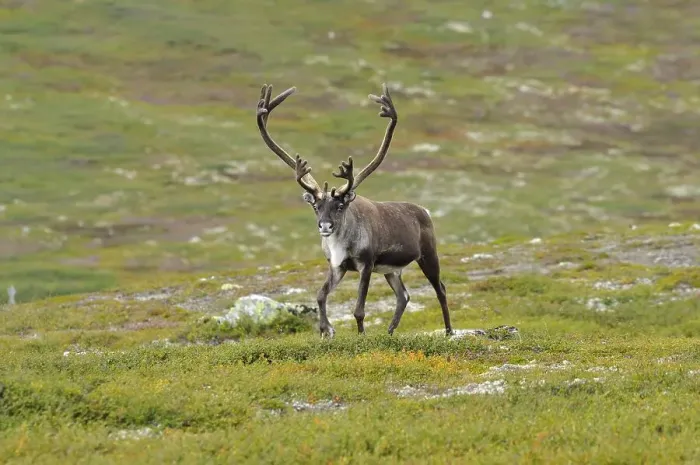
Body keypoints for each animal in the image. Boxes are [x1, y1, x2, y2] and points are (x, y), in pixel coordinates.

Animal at [255, 82, 453, 338]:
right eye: (316, 206)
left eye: (340, 206)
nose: (325, 226)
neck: (340, 242)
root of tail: (425, 211)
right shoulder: (337, 266)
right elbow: (320, 295)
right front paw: (326, 330)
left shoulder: (366, 265)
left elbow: (359, 309)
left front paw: (361, 336)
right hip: (391, 270)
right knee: (403, 296)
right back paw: (389, 331)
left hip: (428, 254)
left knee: (440, 288)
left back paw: (448, 331)